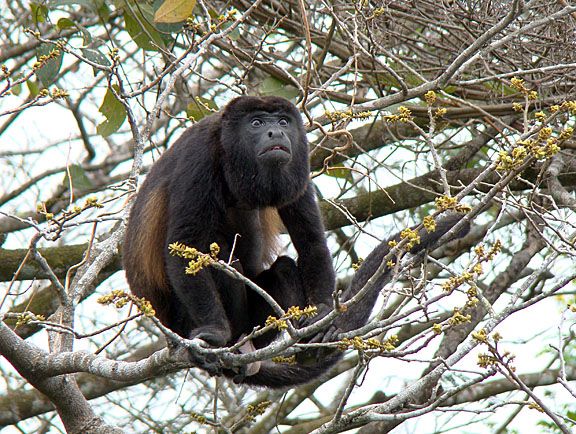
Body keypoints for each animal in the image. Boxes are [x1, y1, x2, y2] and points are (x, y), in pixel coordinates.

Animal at [124, 96, 470, 388]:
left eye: (283, 121)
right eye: (256, 123)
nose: (276, 131)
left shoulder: (299, 162)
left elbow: (310, 239)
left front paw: (320, 317)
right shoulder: (198, 155)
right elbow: (186, 245)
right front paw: (214, 334)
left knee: (285, 267)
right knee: (222, 260)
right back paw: (231, 344)